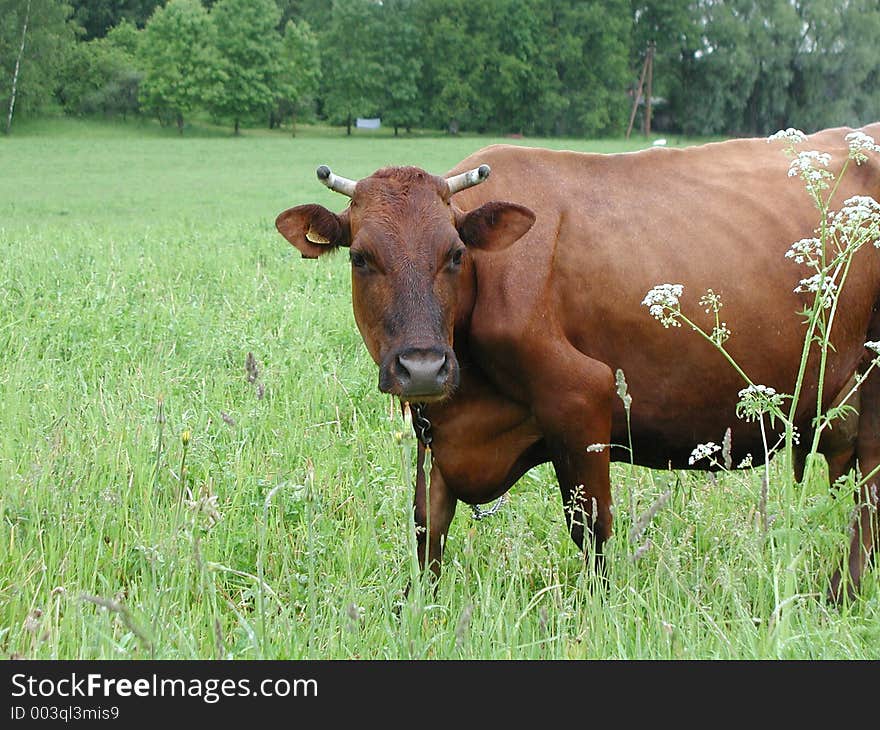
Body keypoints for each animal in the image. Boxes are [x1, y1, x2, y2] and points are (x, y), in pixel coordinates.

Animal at [276, 125, 880, 600]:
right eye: (360, 257)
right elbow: (429, 529)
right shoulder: (437, 427)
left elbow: (590, 528)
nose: (422, 367)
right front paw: (415, 613)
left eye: (455, 254)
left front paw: (599, 612)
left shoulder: (582, 395)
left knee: (869, 498)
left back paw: (841, 595)